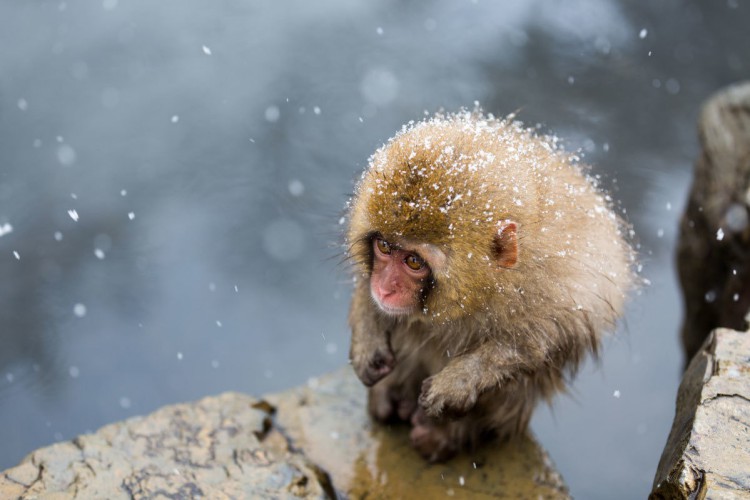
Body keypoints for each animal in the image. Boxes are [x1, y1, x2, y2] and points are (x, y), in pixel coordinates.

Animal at [345, 111, 636, 462]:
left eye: (414, 262)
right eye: (385, 247)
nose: (385, 288)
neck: (484, 287)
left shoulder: (556, 287)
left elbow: (546, 340)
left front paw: (461, 380)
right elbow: (365, 289)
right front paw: (367, 341)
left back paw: (448, 433)